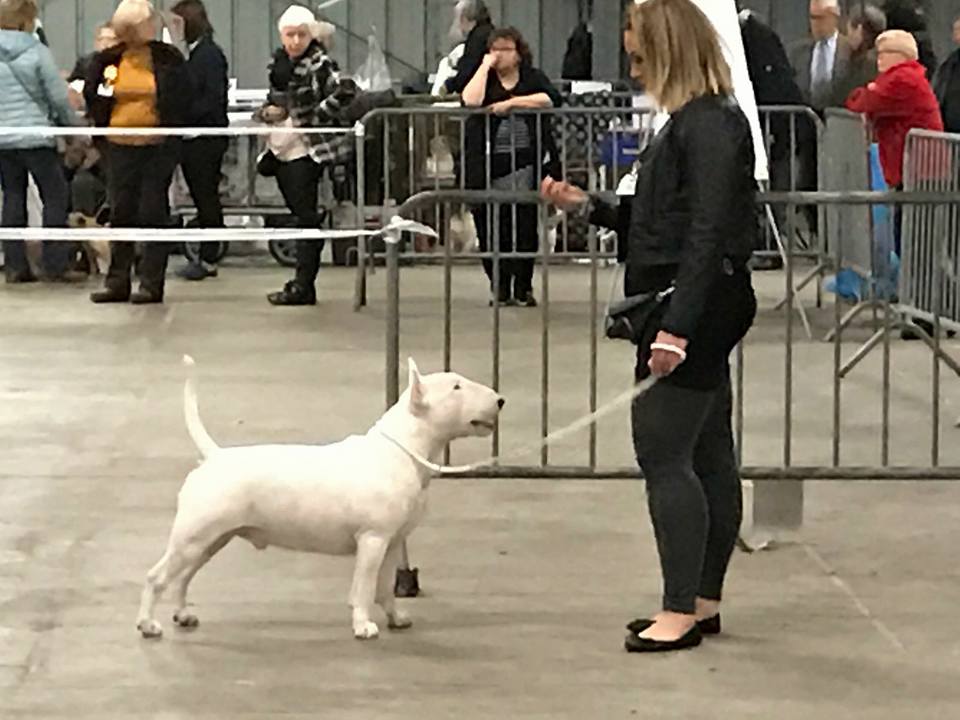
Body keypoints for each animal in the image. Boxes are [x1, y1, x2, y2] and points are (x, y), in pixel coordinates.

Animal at [136, 356, 505, 640]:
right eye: (456, 387)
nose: (500, 400)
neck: (402, 450)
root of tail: (214, 456)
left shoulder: (391, 541)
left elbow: (385, 586)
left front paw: (396, 618)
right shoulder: (372, 539)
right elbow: (363, 587)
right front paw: (363, 626)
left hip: (212, 540)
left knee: (184, 576)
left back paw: (183, 614)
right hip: (193, 537)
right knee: (158, 576)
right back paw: (148, 624)